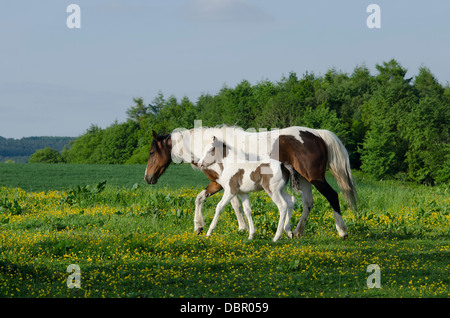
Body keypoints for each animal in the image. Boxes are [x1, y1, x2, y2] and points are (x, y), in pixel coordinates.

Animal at [146, 125, 356, 240]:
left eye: (152, 152)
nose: (147, 178)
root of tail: (317, 134)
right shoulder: (220, 184)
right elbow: (201, 198)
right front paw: (198, 226)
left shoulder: (225, 185)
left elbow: (233, 205)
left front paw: (242, 228)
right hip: (304, 179)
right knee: (307, 203)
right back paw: (295, 231)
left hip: (315, 178)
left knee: (332, 196)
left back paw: (342, 231)